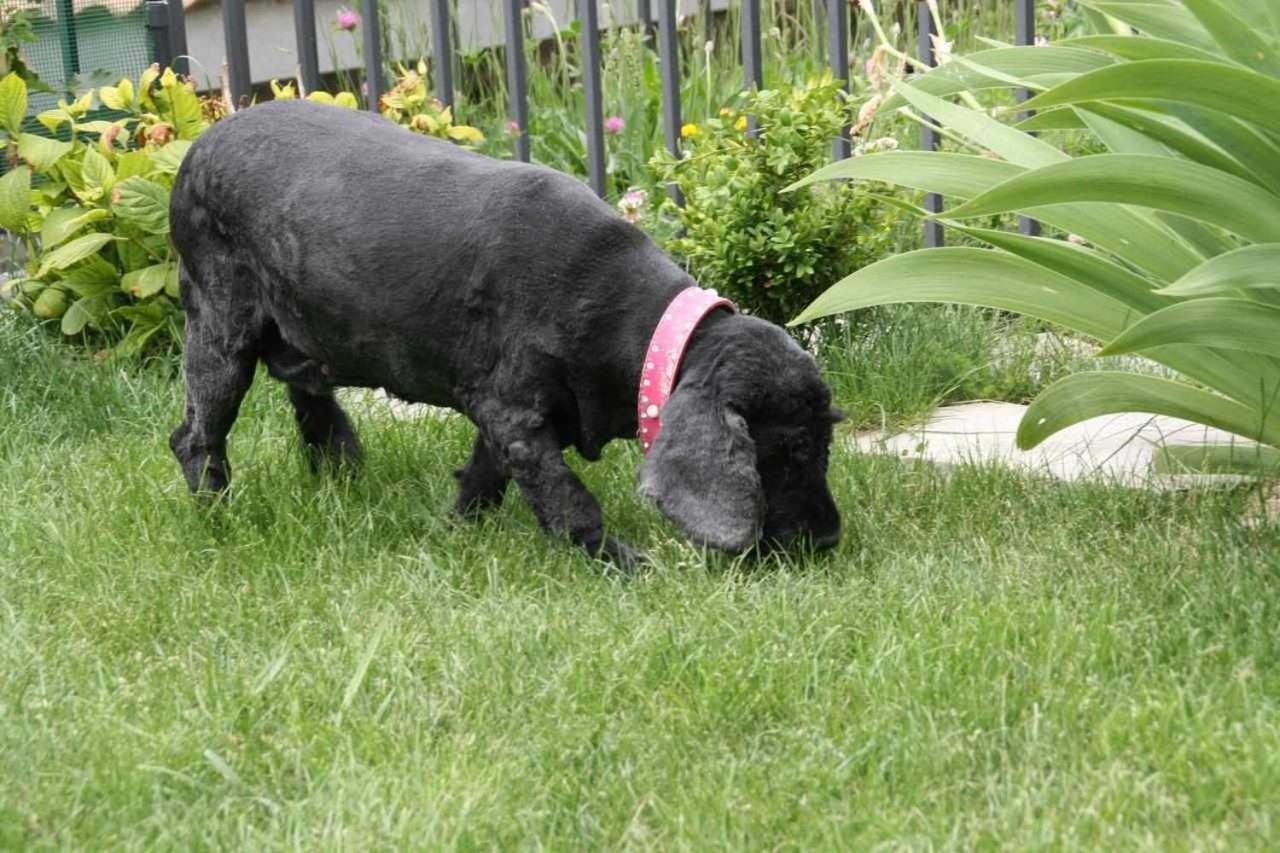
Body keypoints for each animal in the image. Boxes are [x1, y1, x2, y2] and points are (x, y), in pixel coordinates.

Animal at [170, 99, 844, 563]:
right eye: (791, 449)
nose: (829, 540)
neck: (629, 319)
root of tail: (198, 146)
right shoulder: (516, 414)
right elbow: (569, 502)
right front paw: (626, 563)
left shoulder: (505, 416)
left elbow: (482, 477)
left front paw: (455, 531)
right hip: (220, 328)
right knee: (195, 438)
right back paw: (219, 519)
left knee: (309, 396)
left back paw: (340, 466)